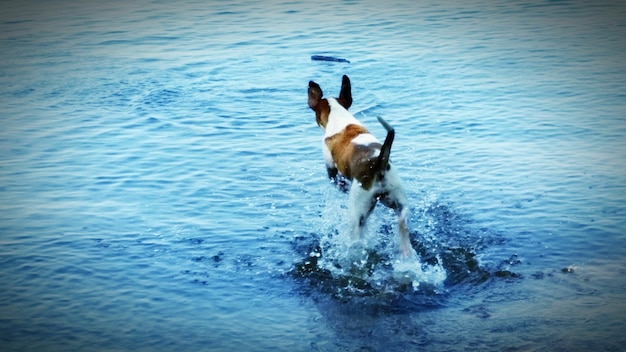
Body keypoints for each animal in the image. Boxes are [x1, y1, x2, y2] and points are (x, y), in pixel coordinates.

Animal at [308, 75, 414, 256]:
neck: (340, 118)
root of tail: (379, 163)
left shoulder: (331, 168)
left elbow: (337, 181)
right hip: (398, 202)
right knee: (402, 225)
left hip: (358, 213)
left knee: (357, 233)